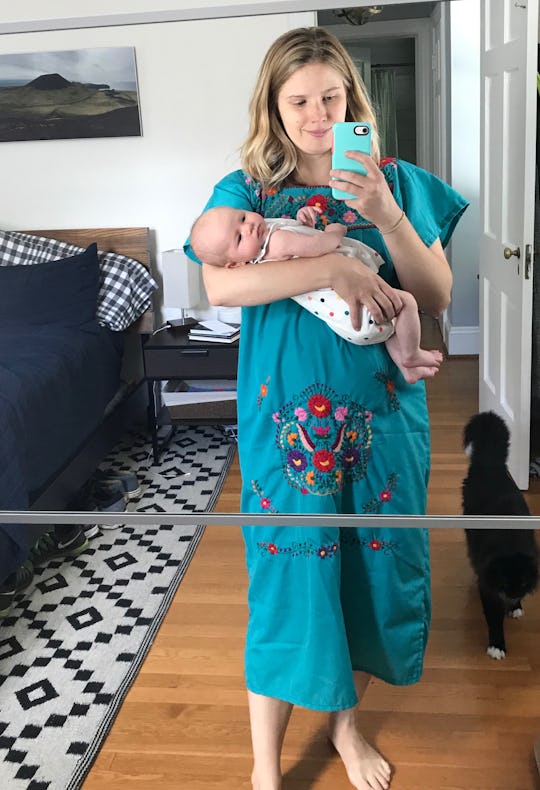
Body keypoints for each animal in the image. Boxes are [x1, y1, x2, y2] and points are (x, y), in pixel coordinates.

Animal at [462, 414, 536, 664]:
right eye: (504, 583)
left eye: (523, 584)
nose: (512, 598)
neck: (510, 542)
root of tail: (490, 464)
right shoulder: (489, 588)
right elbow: (494, 620)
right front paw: (497, 646)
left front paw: (516, 608)